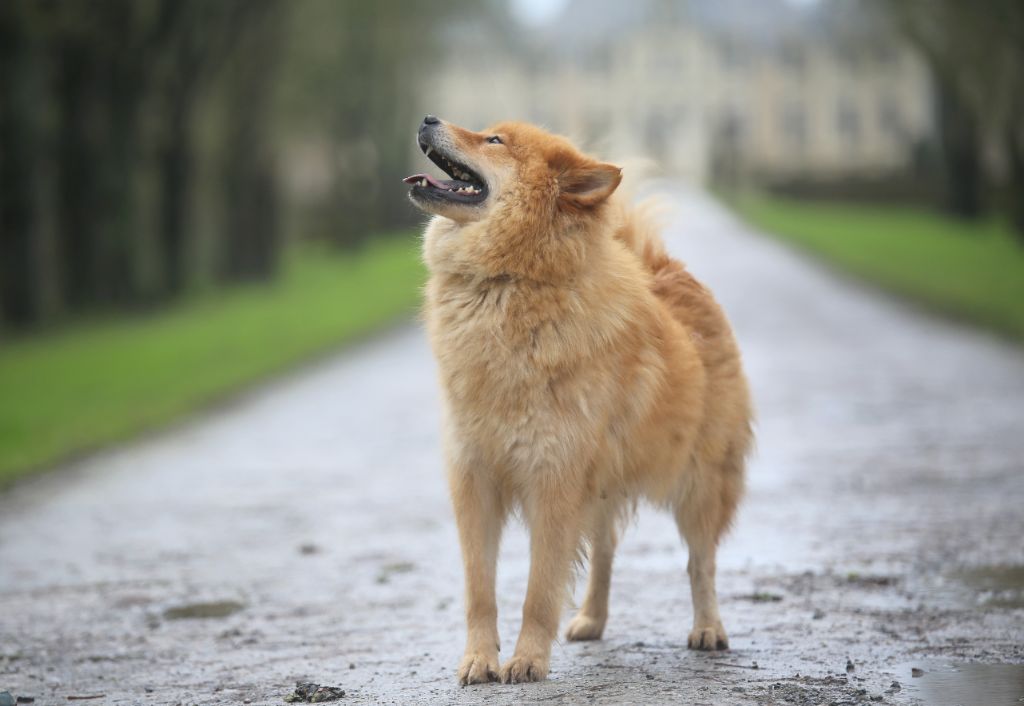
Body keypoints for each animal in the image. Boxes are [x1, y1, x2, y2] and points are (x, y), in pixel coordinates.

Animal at [405, 114, 753, 684]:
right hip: (602, 489)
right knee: (606, 554)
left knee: (700, 562)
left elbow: (538, 591)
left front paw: (527, 660)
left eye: (494, 140)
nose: (429, 118)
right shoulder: (476, 479)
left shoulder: (553, 481)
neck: (510, 281)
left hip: (699, 483)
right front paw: (479, 659)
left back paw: (708, 629)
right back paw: (592, 618)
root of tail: (664, 266)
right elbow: (480, 589)